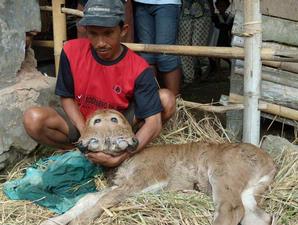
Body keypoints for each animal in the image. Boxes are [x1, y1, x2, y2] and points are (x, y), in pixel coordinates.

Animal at [40, 109, 276, 225]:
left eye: (101, 120)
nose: (80, 142)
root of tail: (269, 161)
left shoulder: (144, 179)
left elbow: (102, 201)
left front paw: (77, 222)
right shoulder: (122, 184)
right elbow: (88, 198)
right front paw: (51, 221)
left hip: (223, 175)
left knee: (231, 210)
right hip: (248, 190)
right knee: (258, 216)